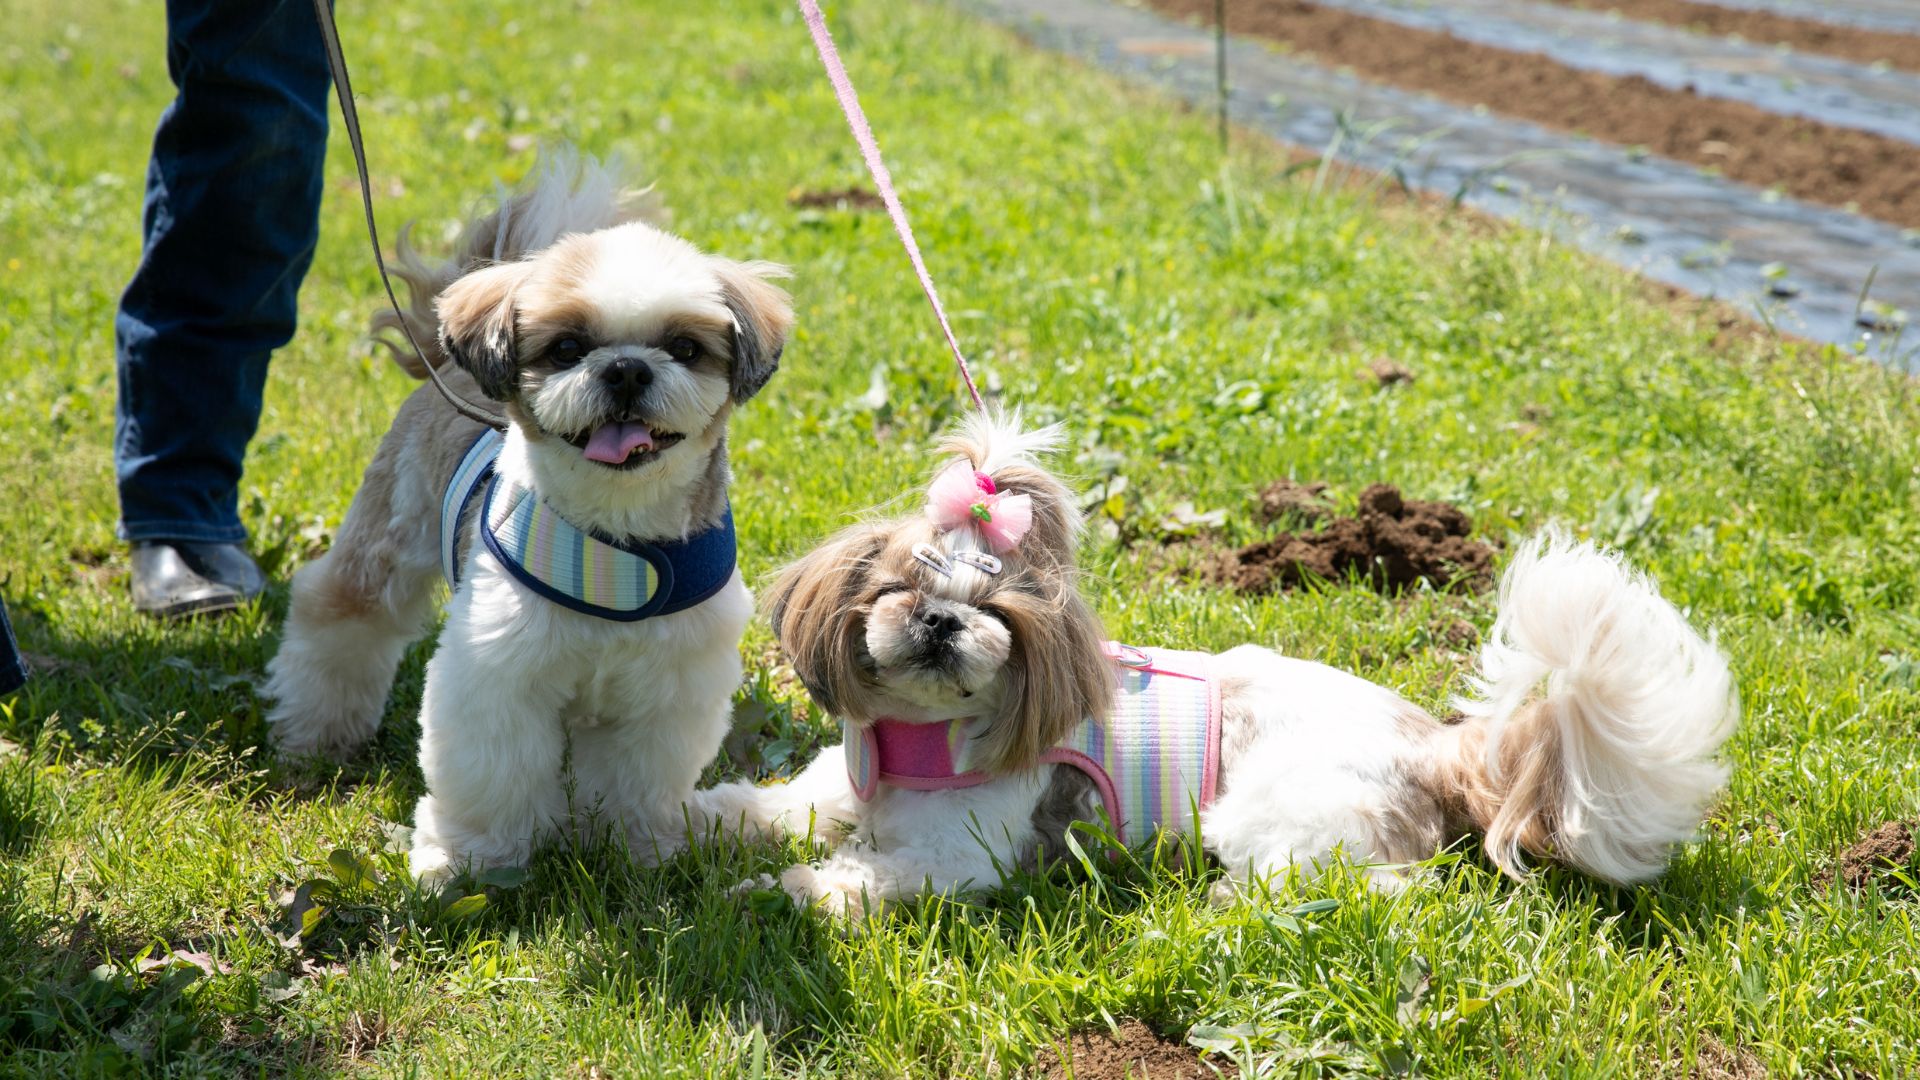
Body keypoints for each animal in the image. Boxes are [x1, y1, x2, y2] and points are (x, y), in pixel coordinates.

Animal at [261, 147, 787, 880]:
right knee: (340, 612)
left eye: (684, 348)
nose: (626, 368)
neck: (615, 546)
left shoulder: (669, 687)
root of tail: (448, 366)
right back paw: (317, 734)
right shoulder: (498, 671)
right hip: (389, 535)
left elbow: (638, 778)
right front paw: (473, 863)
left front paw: (635, 849)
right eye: (567, 349)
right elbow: (494, 773)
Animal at [695, 411, 1743, 907]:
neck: (920, 741)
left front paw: (779, 897)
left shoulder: (956, 858)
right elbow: (781, 808)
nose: (944, 621)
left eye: (999, 614)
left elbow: (862, 874)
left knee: (1375, 884)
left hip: (1278, 812)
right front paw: (702, 824)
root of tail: (1436, 746)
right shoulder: (839, 785)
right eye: (898, 589)